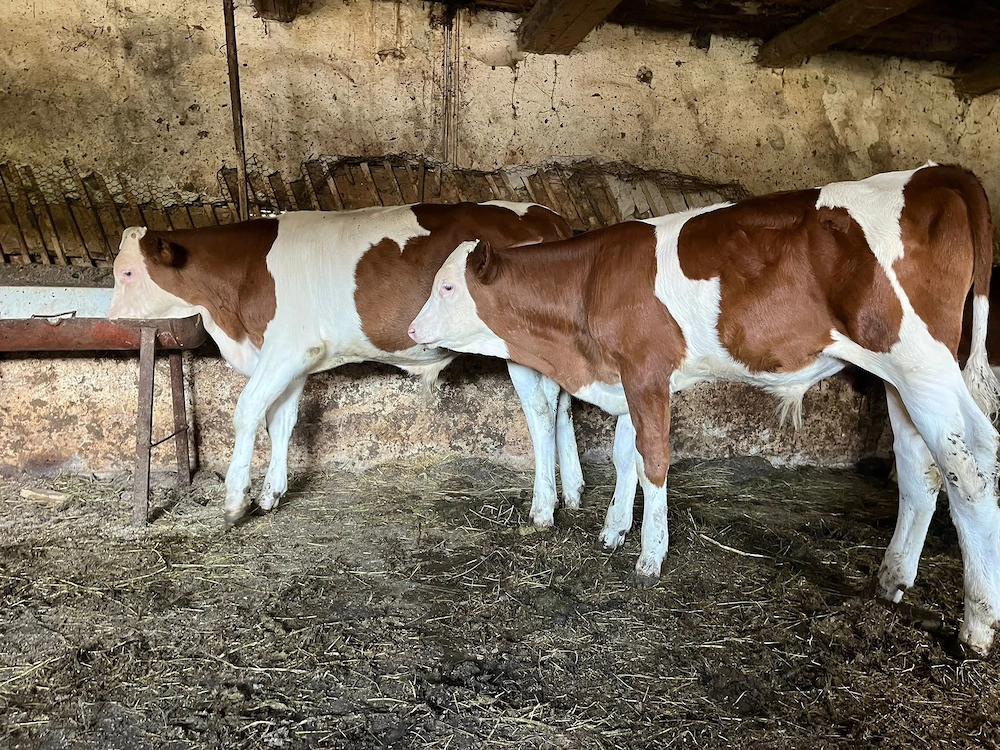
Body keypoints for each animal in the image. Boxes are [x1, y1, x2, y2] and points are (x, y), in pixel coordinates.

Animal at [108, 201, 611, 529]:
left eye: (127, 273)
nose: (111, 320)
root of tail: (545, 215)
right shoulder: (297, 358)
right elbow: (281, 421)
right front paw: (271, 494)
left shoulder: (285, 349)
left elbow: (248, 412)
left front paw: (235, 503)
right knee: (562, 405)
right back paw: (572, 491)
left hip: (516, 346)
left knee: (540, 412)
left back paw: (543, 508)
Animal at [409, 164, 1000, 655]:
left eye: (446, 286)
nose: (411, 330)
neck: (590, 286)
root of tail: (930, 173)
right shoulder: (627, 378)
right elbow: (625, 456)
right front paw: (614, 529)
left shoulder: (646, 371)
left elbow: (653, 460)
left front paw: (650, 555)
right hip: (899, 377)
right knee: (921, 468)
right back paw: (891, 579)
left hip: (924, 363)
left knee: (972, 466)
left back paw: (976, 625)